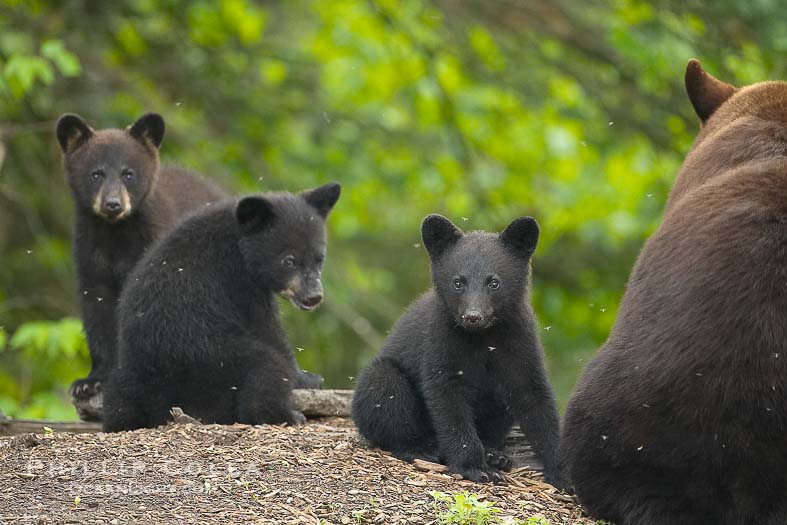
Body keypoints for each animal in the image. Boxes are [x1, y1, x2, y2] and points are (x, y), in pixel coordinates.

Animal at [57, 112, 226, 420]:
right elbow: (97, 312)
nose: (113, 204)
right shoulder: (90, 255)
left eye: (128, 173)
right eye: (96, 173)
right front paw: (90, 382)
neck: (116, 234)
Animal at [101, 182, 341, 432]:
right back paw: (287, 414)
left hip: (129, 379)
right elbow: (268, 331)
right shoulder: (239, 283)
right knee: (266, 365)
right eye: (290, 260)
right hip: (209, 358)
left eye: (319, 258)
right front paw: (308, 377)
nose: (314, 296)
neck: (239, 244)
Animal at [352, 214, 562, 486]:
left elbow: (532, 395)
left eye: (494, 282)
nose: (473, 316)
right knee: (386, 393)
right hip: (380, 383)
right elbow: (448, 401)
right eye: (458, 282)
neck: (483, 336)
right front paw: (475, 468)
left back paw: (494, 453)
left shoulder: (518, 338)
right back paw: (422, 449)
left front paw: (563, 471)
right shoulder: (442, 339)